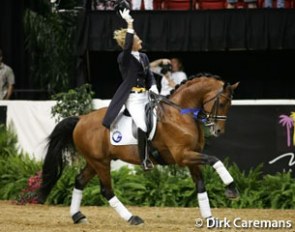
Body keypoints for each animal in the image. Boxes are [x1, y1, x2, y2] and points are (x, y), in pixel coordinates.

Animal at [37, 73, 240, 226]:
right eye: (222, 103)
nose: (218, 130)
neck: (180, 114)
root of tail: (81, 119)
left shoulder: (192, 157)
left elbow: (200, 185)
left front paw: (210, 218)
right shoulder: (183, 156)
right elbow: (215, 160)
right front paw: (232, 189)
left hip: (95, 161)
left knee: (79, 180)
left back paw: (78, 216)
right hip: (100, 162)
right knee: (106, 190)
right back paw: (132, 218)